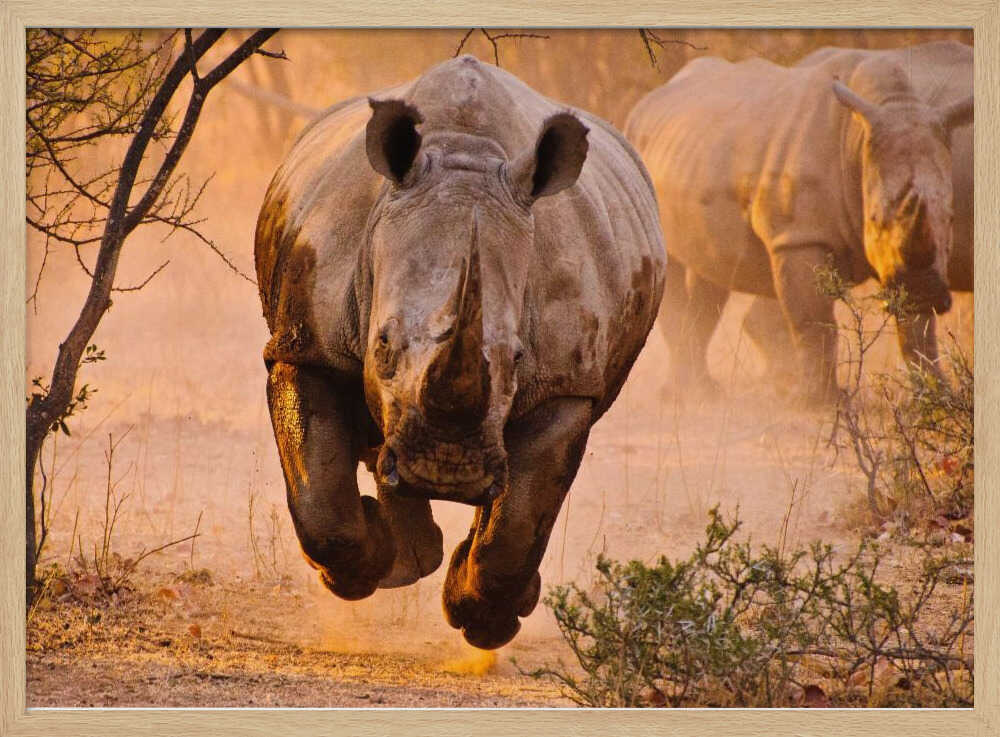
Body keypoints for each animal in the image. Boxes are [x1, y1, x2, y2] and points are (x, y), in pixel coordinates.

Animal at [254, 56, 665, 649]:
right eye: (382, 344)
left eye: (517, 358)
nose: (446, 469)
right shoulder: (305, 342)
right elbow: (321, 502)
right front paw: (362, 569)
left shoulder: (566, 385)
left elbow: (518, 522)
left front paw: (484, 620)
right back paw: (407, 555)